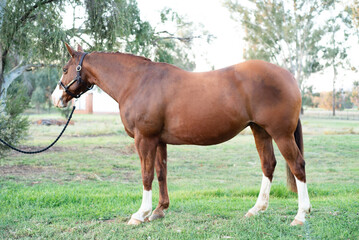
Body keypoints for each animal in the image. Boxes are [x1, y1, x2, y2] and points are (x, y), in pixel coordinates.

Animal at [51, 44, 312, 226]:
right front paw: (159, 211)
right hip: (260, 131)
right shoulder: (158, 140)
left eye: (64, 69)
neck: (137, 82)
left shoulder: (144, 139)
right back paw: (256, 209)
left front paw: (140, 214)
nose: (56, 98)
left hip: (281, 134)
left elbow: (146, 175)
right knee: (268, 164)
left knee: (297, 165)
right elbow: (161, 173)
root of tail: (288, 77)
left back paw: (301, 215)